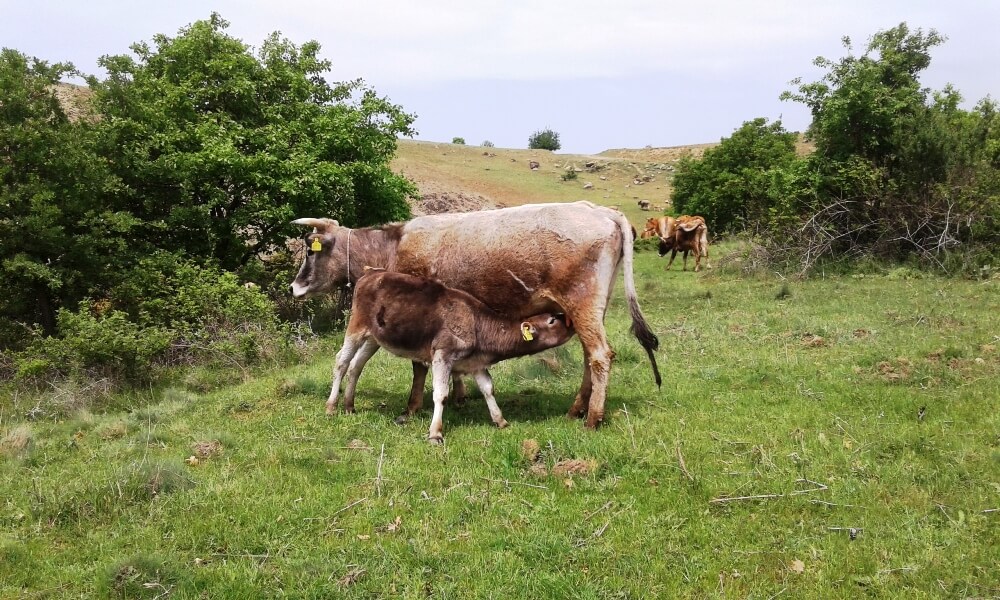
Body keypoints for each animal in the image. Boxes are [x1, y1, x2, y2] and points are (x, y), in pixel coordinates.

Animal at [327, 270, 574, 443]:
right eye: (552, 320)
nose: (570, 320)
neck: (477, 325)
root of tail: (370, 274)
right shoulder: (442, 354)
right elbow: (441, 394)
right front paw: (435, 433)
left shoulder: (476, 362)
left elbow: (488, 389)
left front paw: (500, 420)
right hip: (356, 326)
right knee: (341, 361)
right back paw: (331, 406)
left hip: (374, 338)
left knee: (356, 366)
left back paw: (349, 406)